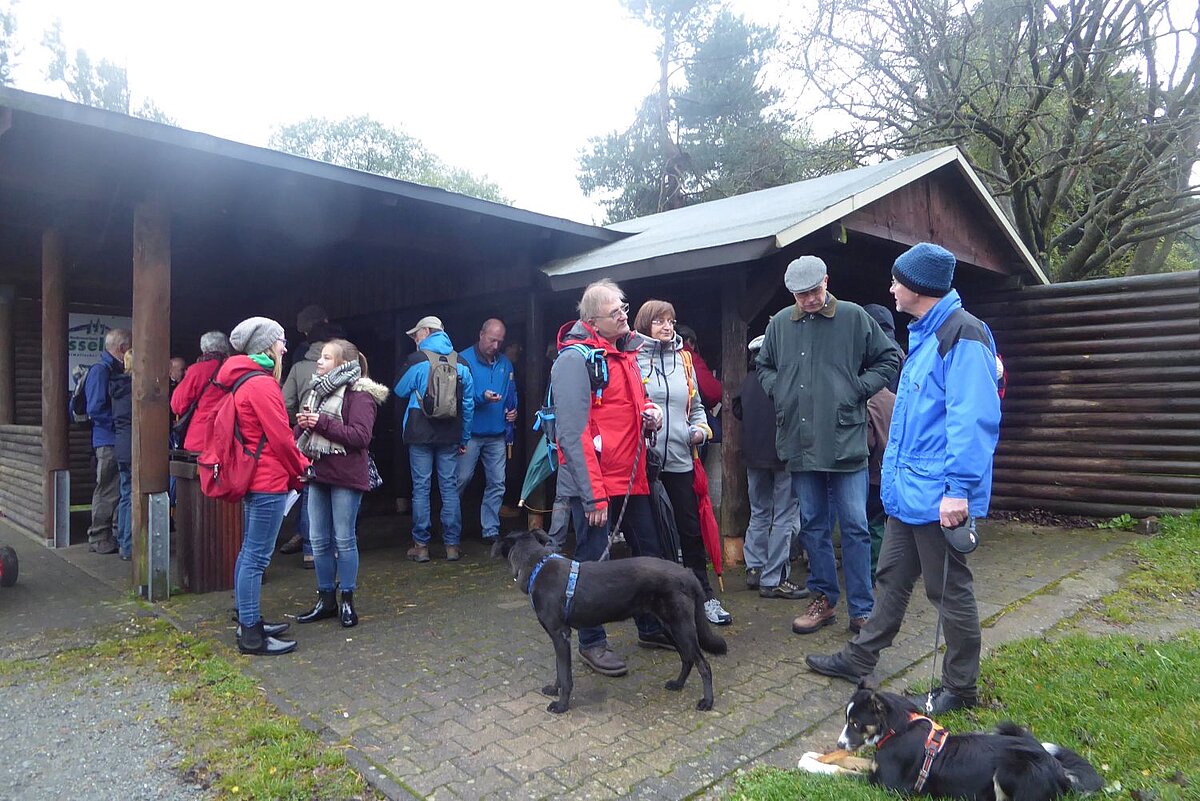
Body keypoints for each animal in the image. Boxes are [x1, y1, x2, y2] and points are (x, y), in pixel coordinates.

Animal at [492, 529, 727, 714]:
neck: (536, 566)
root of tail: (688, 574)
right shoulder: (558, 638)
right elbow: (559, 669)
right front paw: (554, 689)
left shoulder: (561, 635)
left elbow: (566, 675)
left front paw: (562, 705)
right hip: (671, 626)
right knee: (687, 658)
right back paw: (678, 684)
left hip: (681, 626)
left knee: (703, 664)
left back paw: (707, 702)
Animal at [837, 682, 1103, 800]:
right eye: (847, 720)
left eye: (856, 724)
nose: (839, 744)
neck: (896, 728)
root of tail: (1059, 770)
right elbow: (851, 763)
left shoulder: (887, 786)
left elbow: (842, 772)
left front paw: (824, 766)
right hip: (1008, 728)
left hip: (1009, 770)